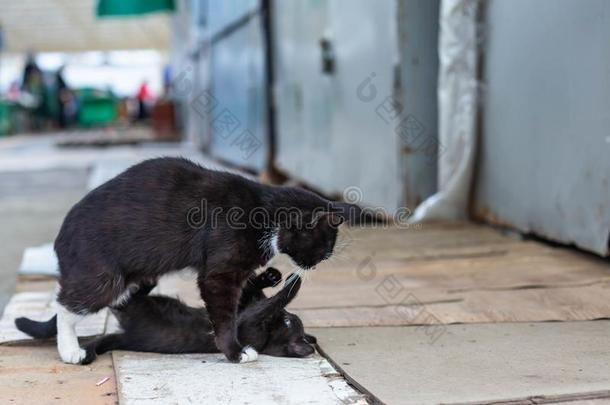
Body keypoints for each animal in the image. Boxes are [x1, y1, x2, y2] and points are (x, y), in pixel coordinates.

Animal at [32, 157, 352, 362]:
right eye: (324, 248)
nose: (314, 265)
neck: (267, 215)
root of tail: (60, 237)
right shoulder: (219, 274)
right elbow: (225, 315)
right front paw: (236, 352)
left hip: (141, 275)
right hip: (102, 277)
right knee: (66, 305)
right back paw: (69, 350)